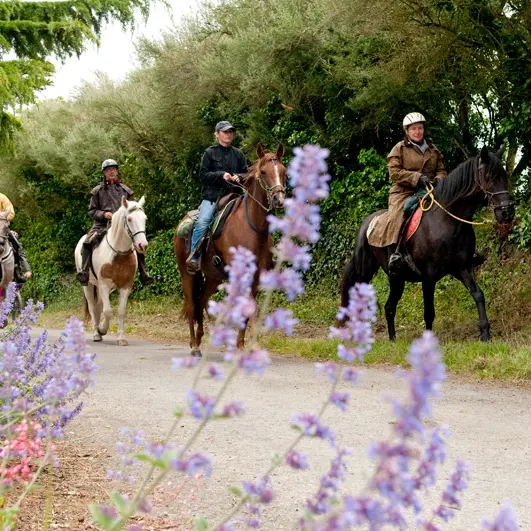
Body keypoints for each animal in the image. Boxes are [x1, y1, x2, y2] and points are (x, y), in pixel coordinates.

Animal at [75, 197, 148, 348]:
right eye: (129, 219)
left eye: (145, 218)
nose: (142, 245)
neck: (118, 253)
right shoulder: (104, 284)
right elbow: (108, 311)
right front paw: (102, 329)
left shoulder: (125, 286)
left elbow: (121, 311)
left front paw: (121, 338)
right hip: (88, 286)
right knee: (92, 306)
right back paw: (96, 333)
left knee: (98, 306)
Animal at [175, 143, 286, 358]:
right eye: (263, 171)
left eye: (284, 171)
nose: (279, 198)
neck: (252, 227)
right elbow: (250, 308)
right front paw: (254, 346)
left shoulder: (256, 276)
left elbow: (246, 310)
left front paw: (240, 346)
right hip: (187, 274)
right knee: (192, 304)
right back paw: (194, 346)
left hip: (213, 278)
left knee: (201, 300)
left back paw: (200, 339)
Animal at [340, 148, 516, 342]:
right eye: (488, 176)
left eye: (504, 175)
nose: (507, 213)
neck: (448, 222)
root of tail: (366, 223)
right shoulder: (428, 276)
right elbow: (429, 312)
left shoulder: (462, 268)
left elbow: (478, 295)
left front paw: (485, 333)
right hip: (365, 273)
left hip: (396, 277)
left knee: (389, 307)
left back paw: (392, 339)